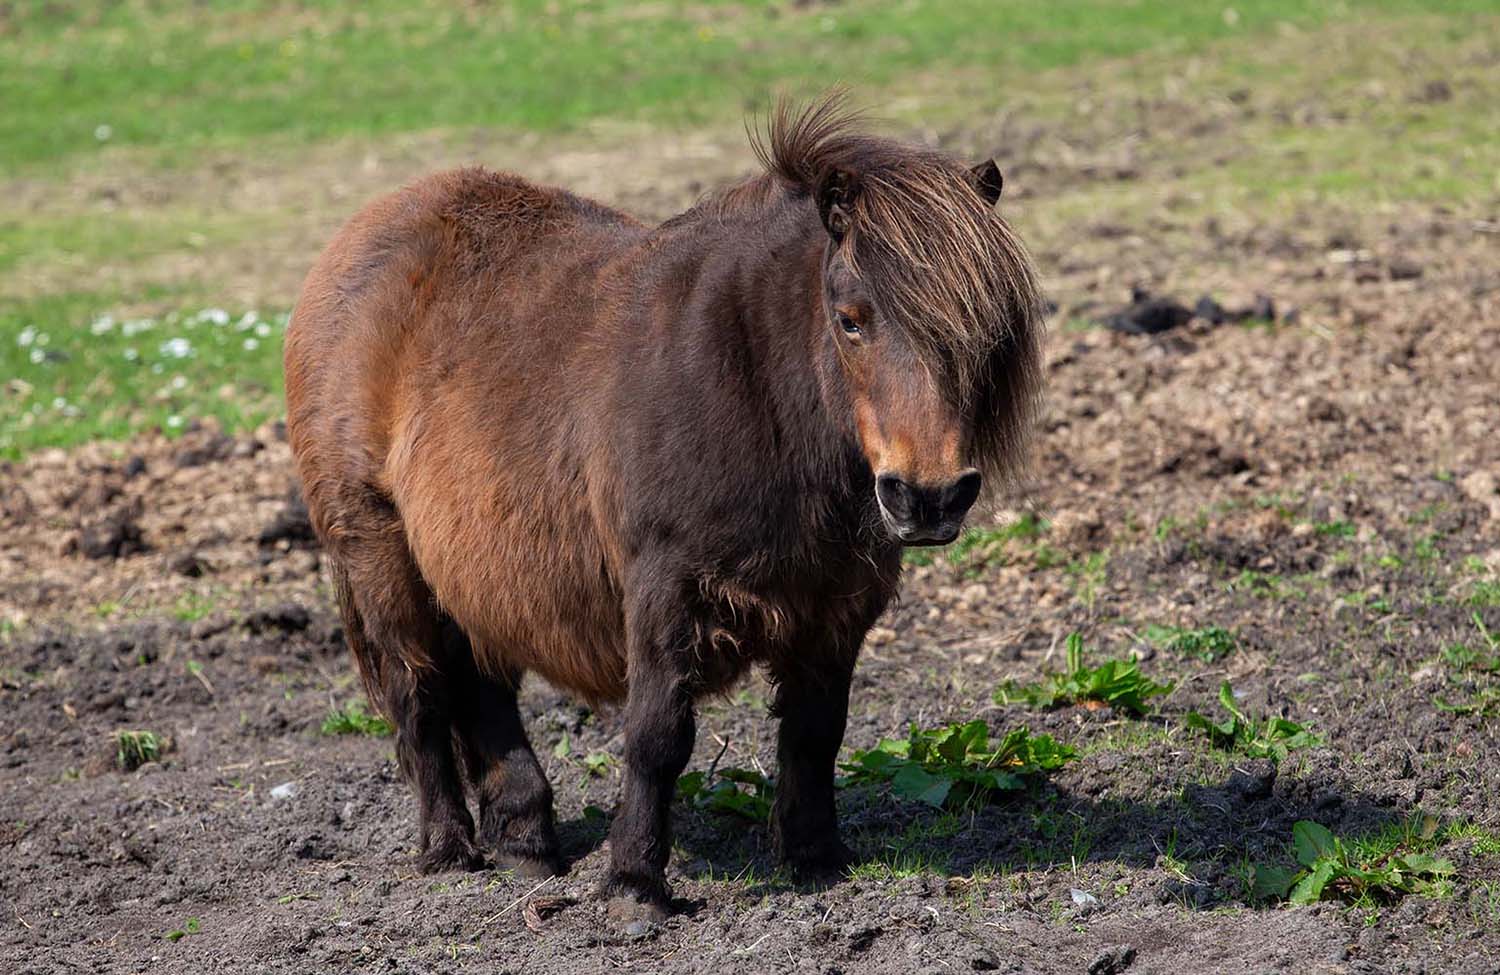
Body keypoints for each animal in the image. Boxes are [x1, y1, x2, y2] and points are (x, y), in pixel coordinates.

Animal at [283, 93, 1044, 918]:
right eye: (850, 318)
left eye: (987, 328)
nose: (928, 495)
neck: (753, 384)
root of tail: (361, 234)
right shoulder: (665, 588)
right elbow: (657, 737)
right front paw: (634, 884)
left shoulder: (836, 604)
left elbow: (816, 732)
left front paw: (817, 860)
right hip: (377, 547)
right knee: (417, 692)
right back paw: (450, 849)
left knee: (481, 680)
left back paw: (525, 838)